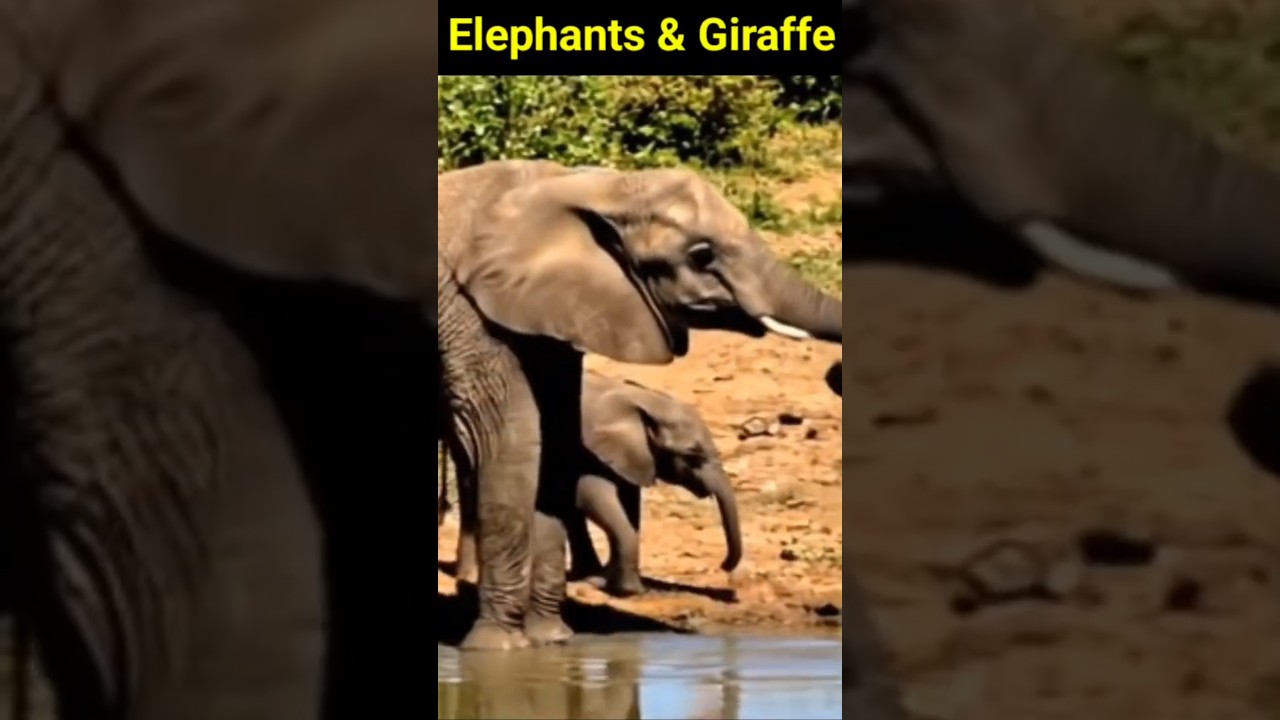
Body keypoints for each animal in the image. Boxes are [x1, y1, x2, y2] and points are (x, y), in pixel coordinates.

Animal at [442, 371, 743, 599]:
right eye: (693, 455)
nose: (724, 567)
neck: (644, 400)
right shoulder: (587, 447)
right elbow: (590, 496)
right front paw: (630, 591)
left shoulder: (629, 457)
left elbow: (627, 504)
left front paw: (604, 581)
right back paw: (470, 578)